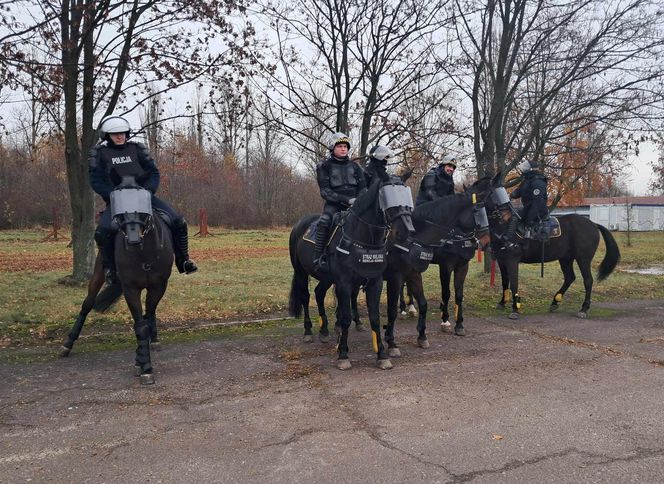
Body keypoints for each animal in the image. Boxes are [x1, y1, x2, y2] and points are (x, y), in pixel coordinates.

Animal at [60, 182, 174, 386]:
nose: (133, 240)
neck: (144, 254)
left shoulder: (159, 286)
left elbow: (146, 319)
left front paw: (141, 359)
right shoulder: (130, 288)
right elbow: (140, 324)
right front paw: (144, 366)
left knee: (149, 314)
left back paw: (154, 341)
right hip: (98, 274)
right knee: (87, 304)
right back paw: (68, 343)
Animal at [290, 170, 416, 370]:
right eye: (387, 197)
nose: (407, 231)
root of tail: (299, 225)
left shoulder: (376, 282)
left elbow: (376, 317)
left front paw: (382, 354)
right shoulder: (344, 283)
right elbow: (345, 318)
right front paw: (343, 354)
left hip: (327, 278)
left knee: (318, 293)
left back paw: (324, 331)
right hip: (301, 273)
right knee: (305, 296)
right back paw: (309, 331)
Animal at [486, 185, 620, 318]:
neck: (505, 225)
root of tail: (593, 224)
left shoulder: (512, 260)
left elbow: (514, 283)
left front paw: (515, 309)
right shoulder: (502, 260)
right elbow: (505, 281)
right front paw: (502, 303)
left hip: (583, 259)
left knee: (588, 280)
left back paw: (584, 309)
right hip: (566, 259)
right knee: (570, 277)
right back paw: (555, 301)